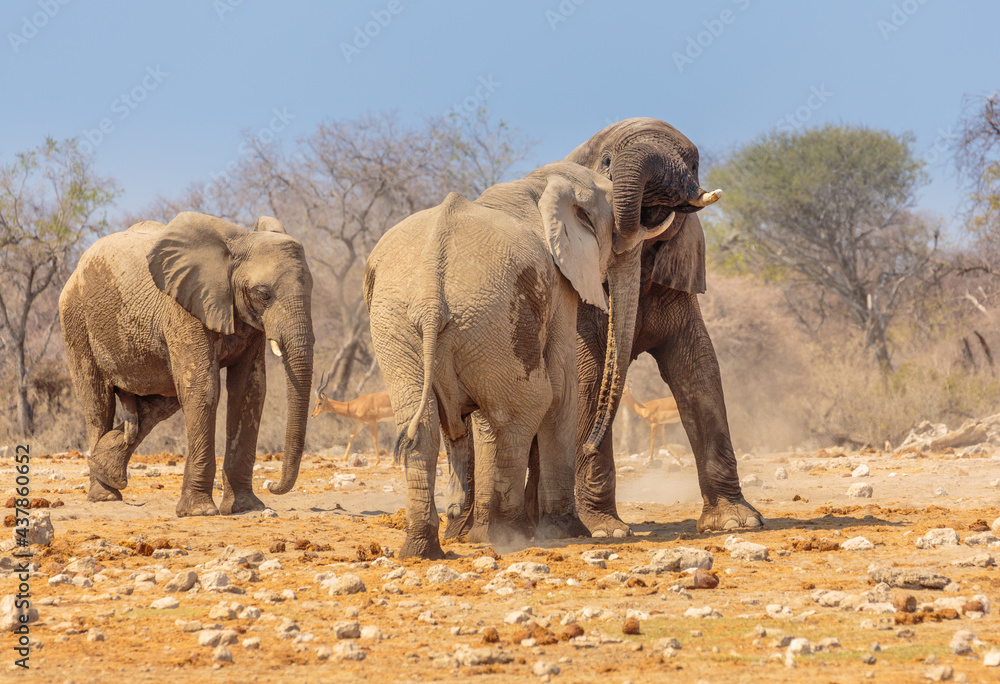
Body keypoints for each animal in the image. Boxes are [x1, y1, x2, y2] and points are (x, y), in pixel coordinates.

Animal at [58, 212, 315, 517]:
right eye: (263, 293)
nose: (272, 485)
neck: (239, 242)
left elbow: (249, 390)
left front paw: (246, 508)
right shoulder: (184, 308)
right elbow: (204, 387)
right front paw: (200, 512)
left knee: (162, 399)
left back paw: (106, 469)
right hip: (75, 319)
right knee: (98, 403)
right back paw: (104, 496)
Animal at [364, 161, 676, 559]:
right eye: (618, 236)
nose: (591, 445)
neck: (540, 182)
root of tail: (431, 299)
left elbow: (485, 420)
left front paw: (479, 533)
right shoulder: (558, 286)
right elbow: (562, 388)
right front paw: (567, 532)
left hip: (405, 325)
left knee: (423, 427)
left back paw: (424, 549)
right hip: (486, 312)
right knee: (528, 406)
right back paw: (507, 534)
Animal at [445, 118, 764, 540]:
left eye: (694, 166)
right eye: (607, 161)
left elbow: (698, 368)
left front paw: (736, 521)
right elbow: (588, 375)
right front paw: (606, 531)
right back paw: (468, 532)